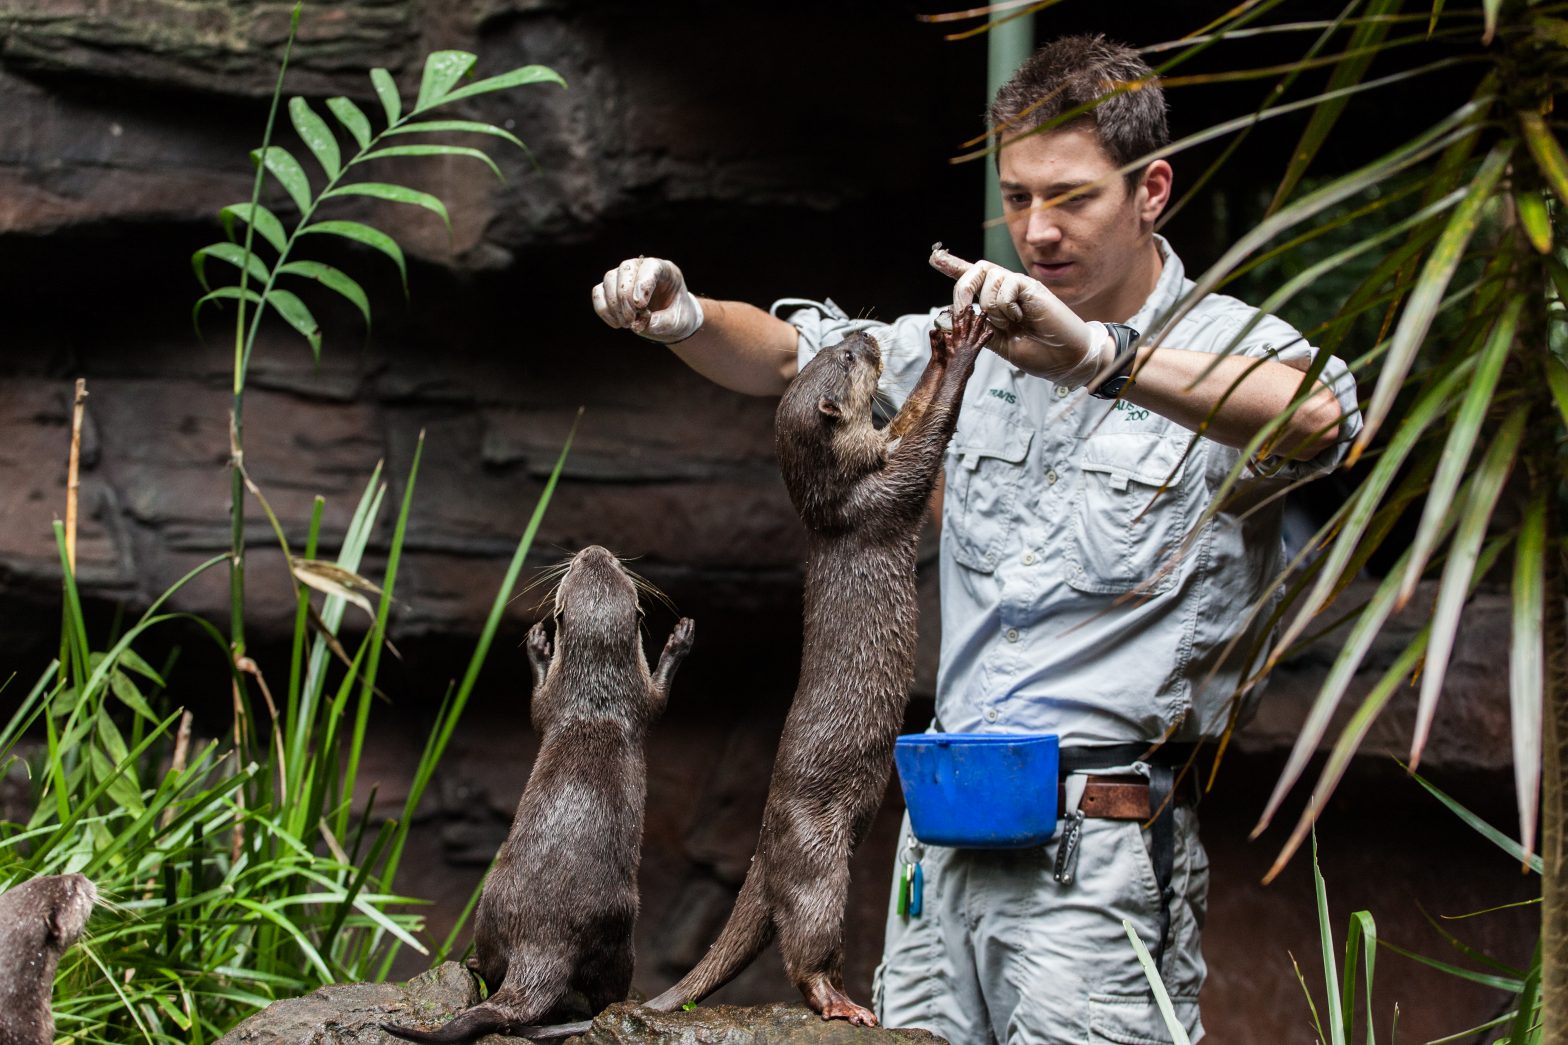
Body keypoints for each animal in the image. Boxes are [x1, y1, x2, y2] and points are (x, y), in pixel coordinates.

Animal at [383, 545, 694, 1044]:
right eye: (583, 565)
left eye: (607, 565)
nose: (593, 550)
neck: (594, 699)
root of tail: (543, 941)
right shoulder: (618, 700)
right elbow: (652, 697)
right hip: (620, 923)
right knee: (607, 988)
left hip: (491, 899)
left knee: (496, 966)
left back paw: (475, 964)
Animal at [641, 304, 994, 1024]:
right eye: (848, 361)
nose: (859, 335)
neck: (834, 500)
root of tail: (764, 844)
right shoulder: (883, 493)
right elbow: (929, 439)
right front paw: (967, 350)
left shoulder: (882, 450)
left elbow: (912, 414)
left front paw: (944, 345)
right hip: (819, 862)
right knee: (804, 944)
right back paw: (842, 1003)